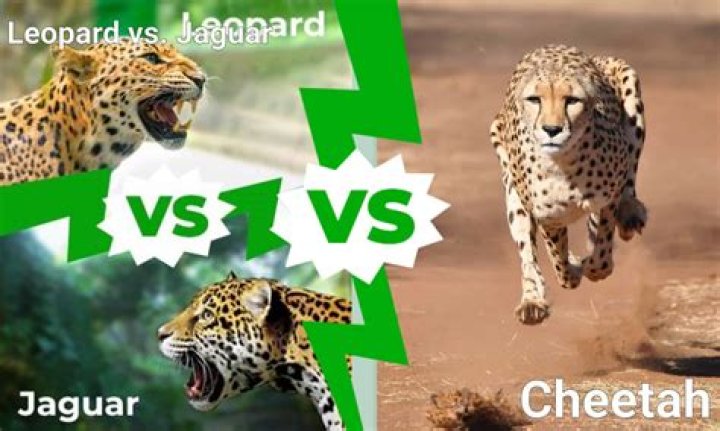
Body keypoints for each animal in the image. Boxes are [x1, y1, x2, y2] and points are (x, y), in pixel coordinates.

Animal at [490, 44, 648, 325]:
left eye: (572, 100)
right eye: (535, 99)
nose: (552, 129)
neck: (563, 163)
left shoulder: (607, 198)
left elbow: (600, 255)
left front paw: (591, 267)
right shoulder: (548, 217)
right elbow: (558, 260)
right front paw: (572, 271)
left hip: (629, 88)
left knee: (631, 169)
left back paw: (630, 213)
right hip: (512, 192)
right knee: (527, 253)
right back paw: (532, 301)